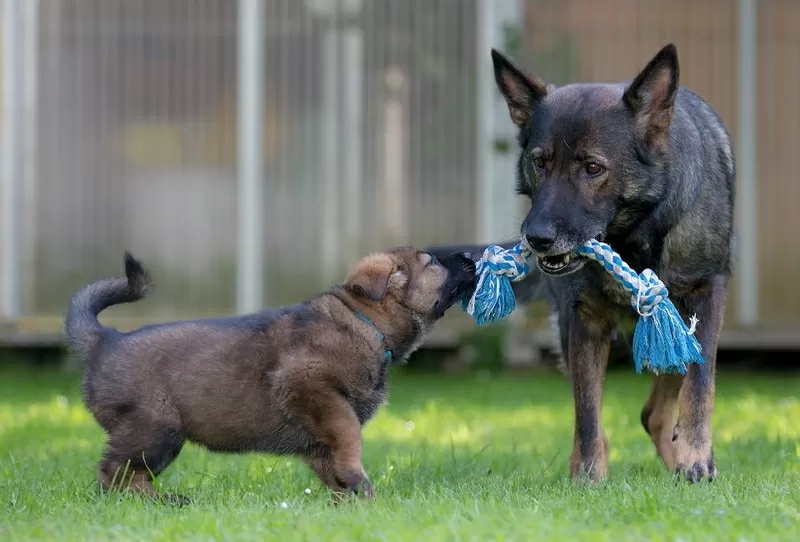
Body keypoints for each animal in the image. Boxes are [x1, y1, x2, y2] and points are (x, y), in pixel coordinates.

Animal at [65, 249, 476, 504]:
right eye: (431, 261)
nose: (471, 256)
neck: (364, 323)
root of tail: (106, 340)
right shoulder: (311, 387)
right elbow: (349, 438)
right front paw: (361, 484)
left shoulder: (318, 432)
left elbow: (331, 463)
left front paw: (349, 501)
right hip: (156, 428)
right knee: (114, 473)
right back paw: (160, 502)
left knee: (128, 476)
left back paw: (167, 501)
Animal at [428, 43, 736, 484]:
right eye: (539, 162)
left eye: (592, 168)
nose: (536, 238)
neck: (633, 238)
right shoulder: (583, 318)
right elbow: (587, 410)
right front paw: (588, 478)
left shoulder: (705, 296)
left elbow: (700, 387)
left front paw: (696, 459)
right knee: (646, 414)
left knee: (660, 408)